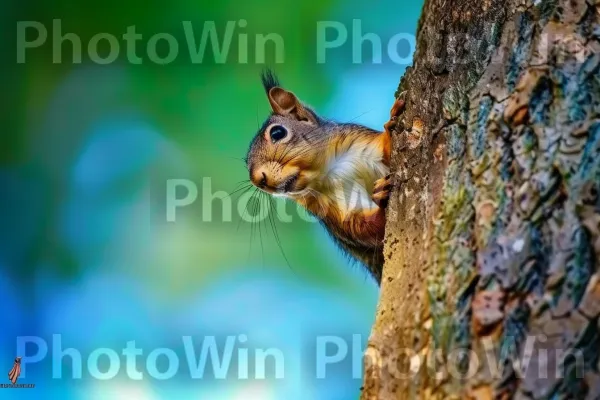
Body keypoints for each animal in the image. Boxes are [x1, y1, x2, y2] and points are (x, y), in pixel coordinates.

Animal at [246, 71, 406, 284]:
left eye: (278, 132)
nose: (258, 180)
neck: (330, 172)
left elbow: (387, 152)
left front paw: (391, 127)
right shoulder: (329, 209)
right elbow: (359, 229)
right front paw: (381, 202)